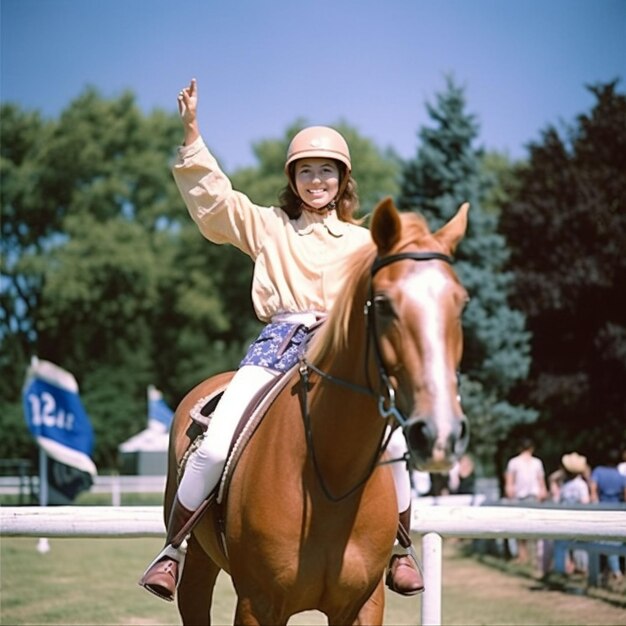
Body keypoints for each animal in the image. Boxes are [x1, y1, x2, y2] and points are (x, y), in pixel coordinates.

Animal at [163, 196, 466, 624]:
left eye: (461, 303)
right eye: (384, 304)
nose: (440, 434)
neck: (332, 476)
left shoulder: (363, 604)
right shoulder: (257, 604)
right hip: (199, 563)